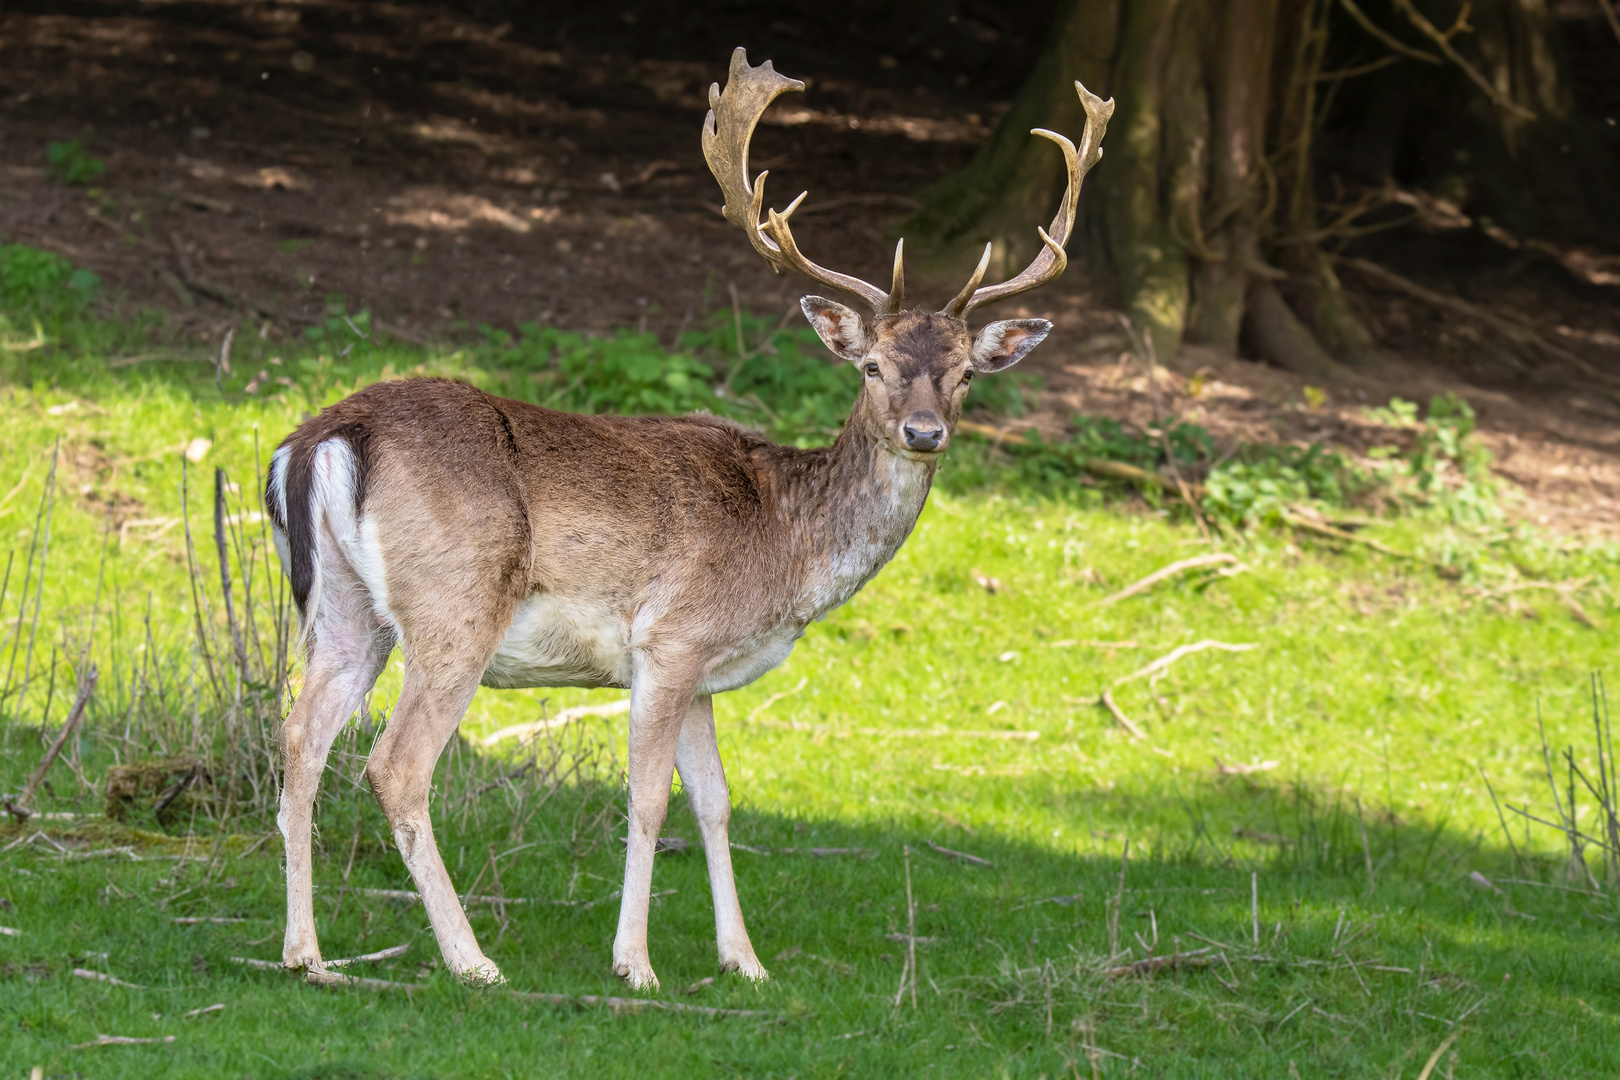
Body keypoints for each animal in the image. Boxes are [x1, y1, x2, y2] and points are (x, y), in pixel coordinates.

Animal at [265, 52, 1108, 997]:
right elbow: (647, 798)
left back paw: (307, 954)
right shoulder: (668, 642)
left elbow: (716, 800)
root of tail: (325, 436)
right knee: (396, 764)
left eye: (965, 373)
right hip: (457, 603)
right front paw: (635, 964)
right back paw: (472, 959)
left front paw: (745, 960)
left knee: (300, 738)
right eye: (873, 366)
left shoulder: (706, 669)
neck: (787, 552)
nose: (925, 431)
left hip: (346, 610)